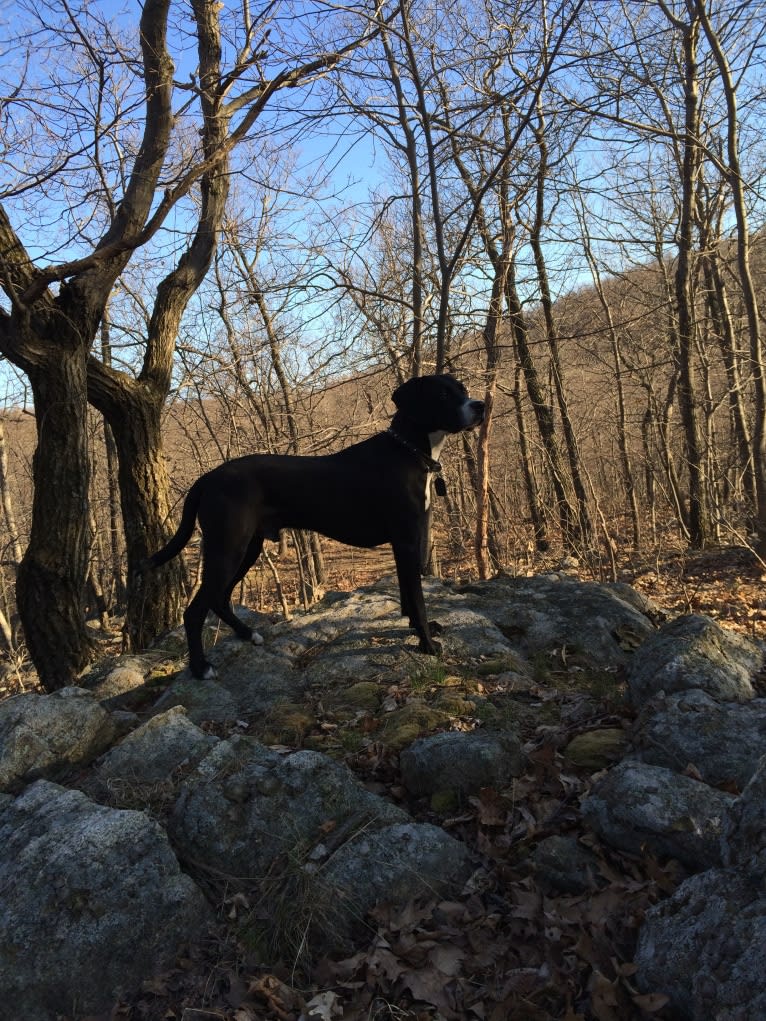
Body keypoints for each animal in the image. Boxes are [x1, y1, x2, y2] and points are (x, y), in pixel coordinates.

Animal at [150, 373, 486, 677]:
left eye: (462, 388)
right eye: (442, 394)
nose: (480, 405)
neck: (409, 450)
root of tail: (207, 479)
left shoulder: (405, 542)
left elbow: (408, 596)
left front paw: (421, 630)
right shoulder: (406, 540)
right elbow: (417, 599)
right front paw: (427, 644)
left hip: (247, 548)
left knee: (219, 599)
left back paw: (248, 635)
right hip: (227, 548)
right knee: (194, 611)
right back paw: (200, 667)